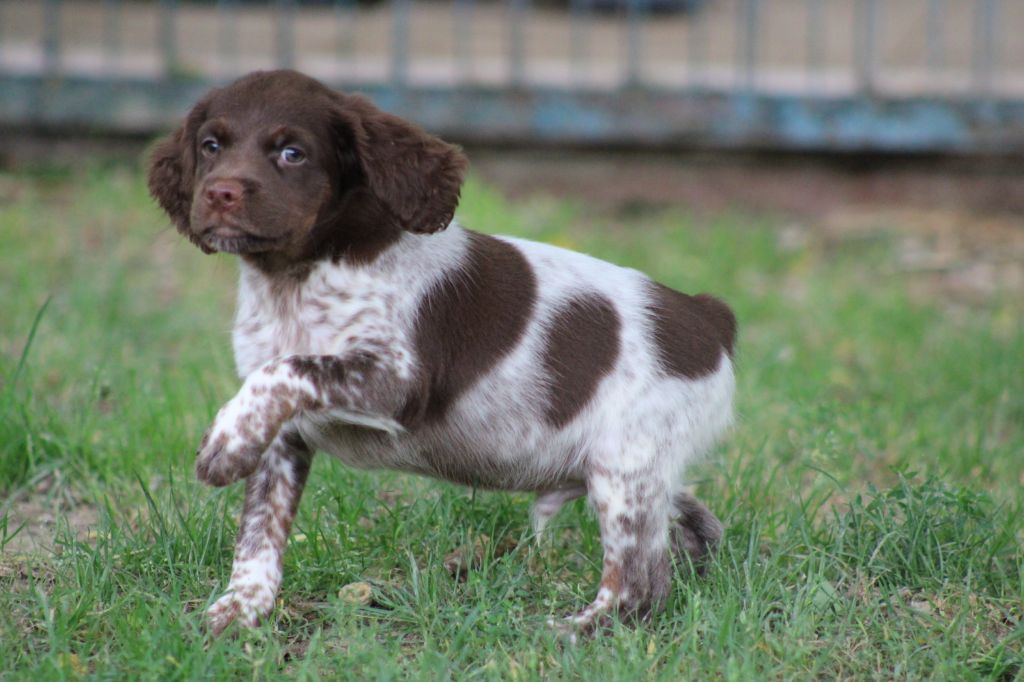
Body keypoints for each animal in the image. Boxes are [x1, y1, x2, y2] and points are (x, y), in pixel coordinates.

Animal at [146, 71, 737, 634]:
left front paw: (224, 444)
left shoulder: (398, 382)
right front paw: (242, 608)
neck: (293, 278)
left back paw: (571, 631)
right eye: (210, 146)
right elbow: (259, 531)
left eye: (292, 153)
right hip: (627, 469)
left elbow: (284, 369)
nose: (220, 193)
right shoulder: (286, 438)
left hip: (623, 469)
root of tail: (709, 317)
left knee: (639, 588)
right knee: (693, 518)